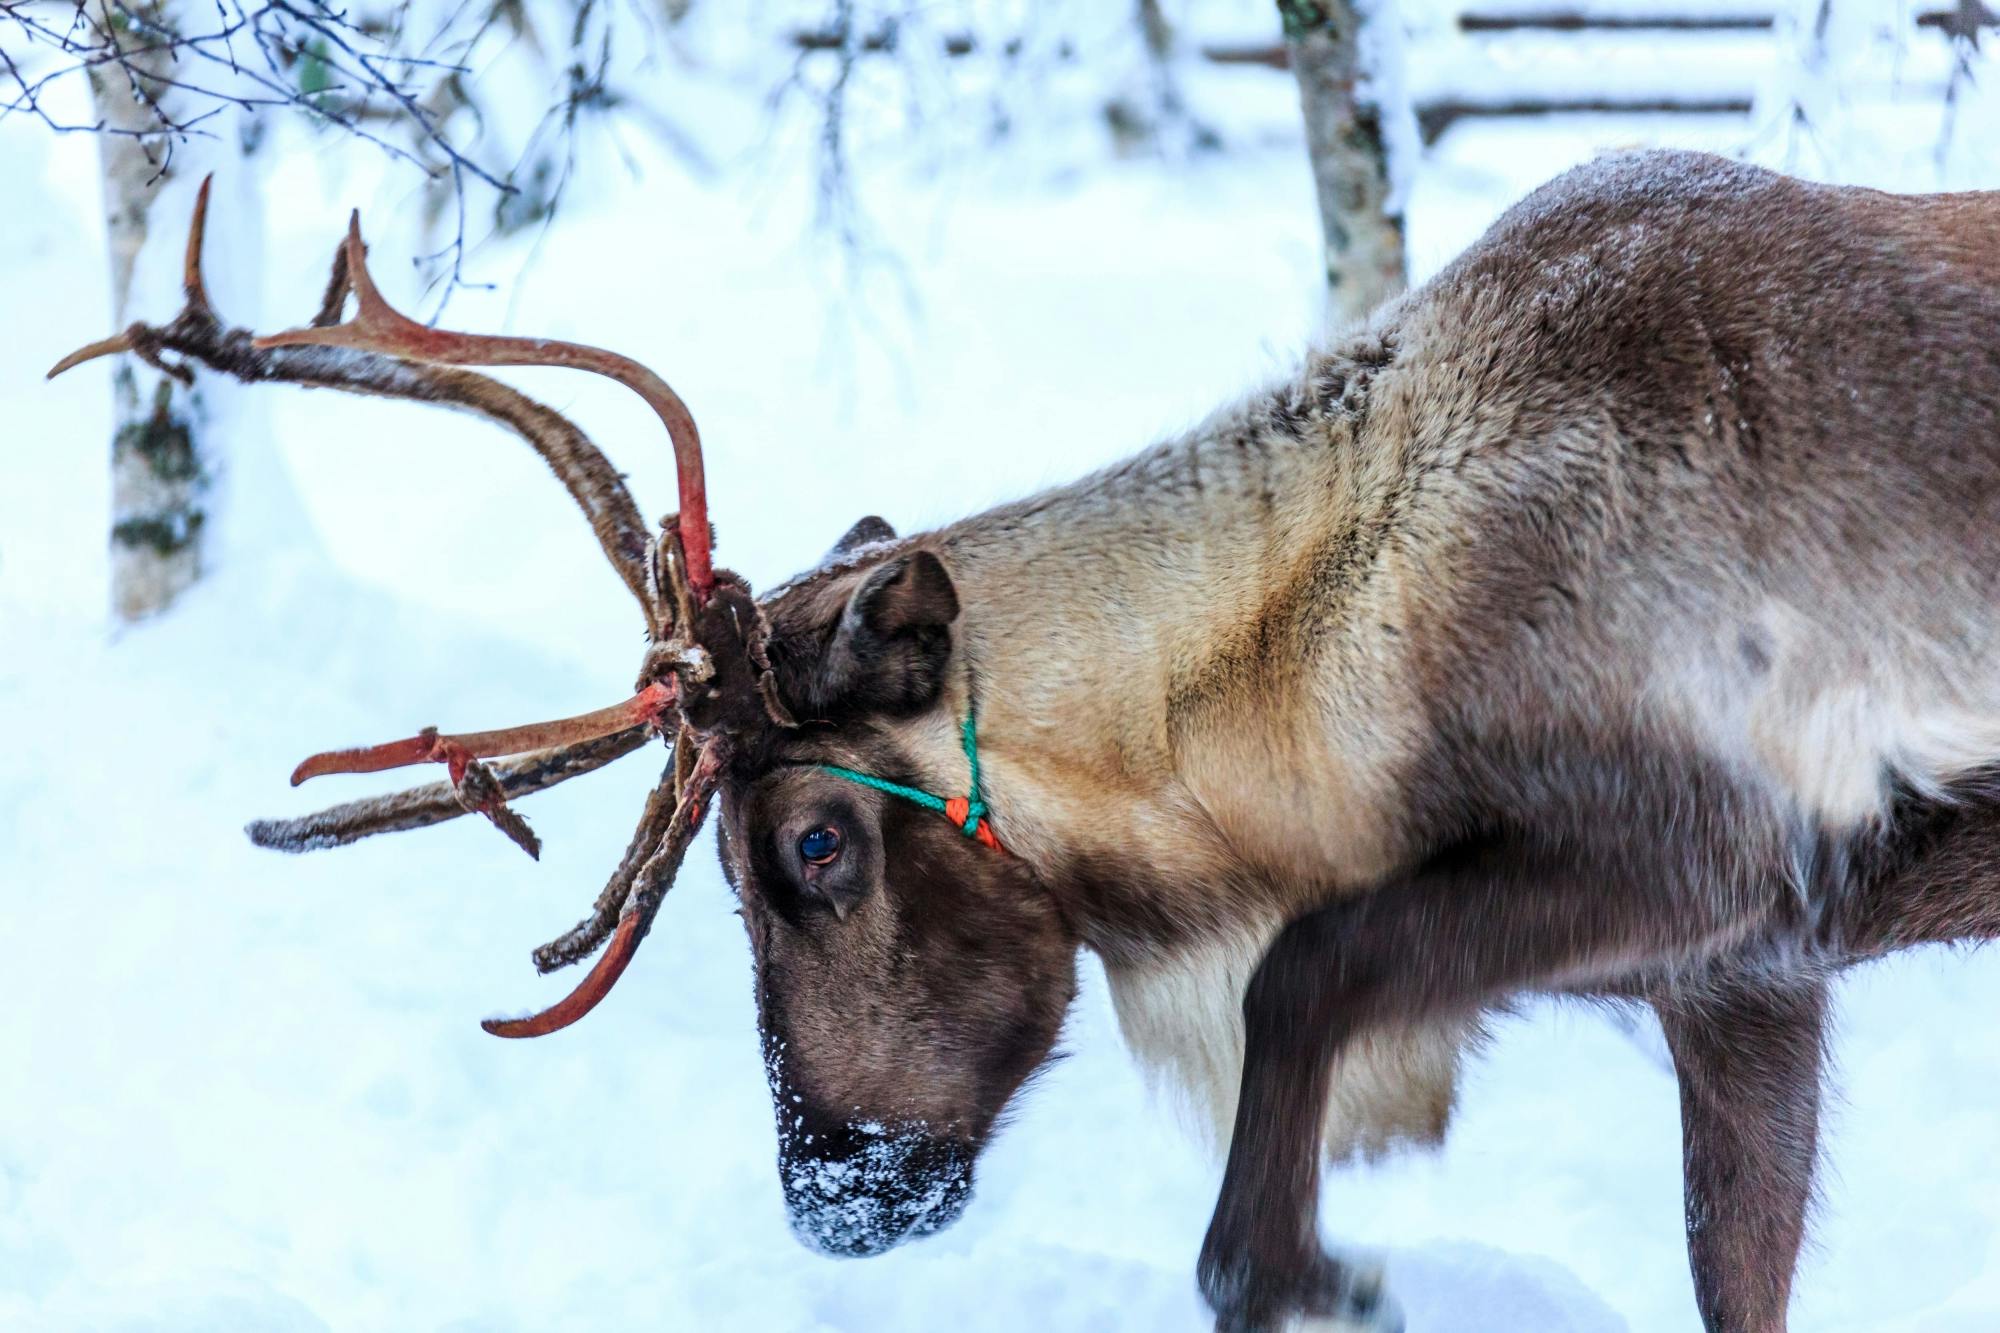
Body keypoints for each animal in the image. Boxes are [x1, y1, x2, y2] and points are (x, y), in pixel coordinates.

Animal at [51, 148, 2000, 1333]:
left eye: (815, 842)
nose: (830, 1196)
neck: (1322, 641)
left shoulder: (1715, 849)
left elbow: (1304, 976)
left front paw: (1316, 1266)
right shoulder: (1749, 983)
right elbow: (1733, 1264)